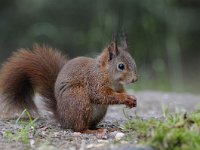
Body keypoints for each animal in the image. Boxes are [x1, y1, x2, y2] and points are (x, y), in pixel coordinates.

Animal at [0, 40, 138, 132]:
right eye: (121, 66)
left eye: (133, 62)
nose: (135, 79)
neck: (108, 74)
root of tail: (62, 118)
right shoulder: (94, 81)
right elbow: (101, 95)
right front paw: (125, 98)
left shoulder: (118, 87)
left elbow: (118, 92)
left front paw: (132, 100)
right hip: (78, 100)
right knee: (78, 128)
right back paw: (90, 131)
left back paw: (98, 128)